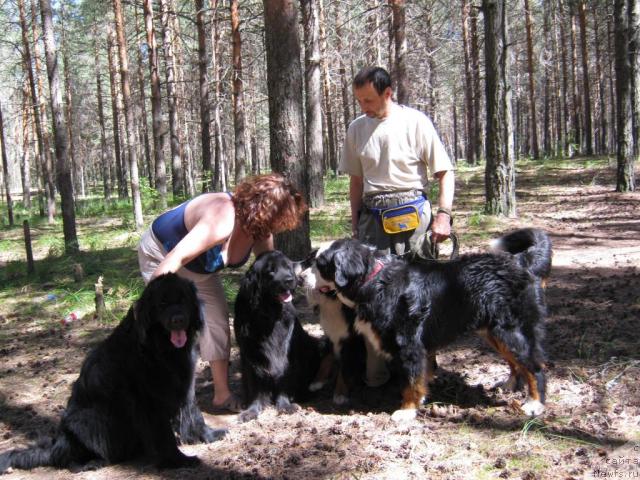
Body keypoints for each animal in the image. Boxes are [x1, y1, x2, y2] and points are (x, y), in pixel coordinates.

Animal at [0, 272, 226, 470]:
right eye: (162, 303)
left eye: (184, 299)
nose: (178, 319)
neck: (159, 348)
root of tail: (55, 445)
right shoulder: (148, 400)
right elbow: (163, 435)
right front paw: (177, 460)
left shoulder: (184, 384)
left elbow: (194, 414)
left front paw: (208, 435)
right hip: (84, 420)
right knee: (65, 459)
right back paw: (89, 463)